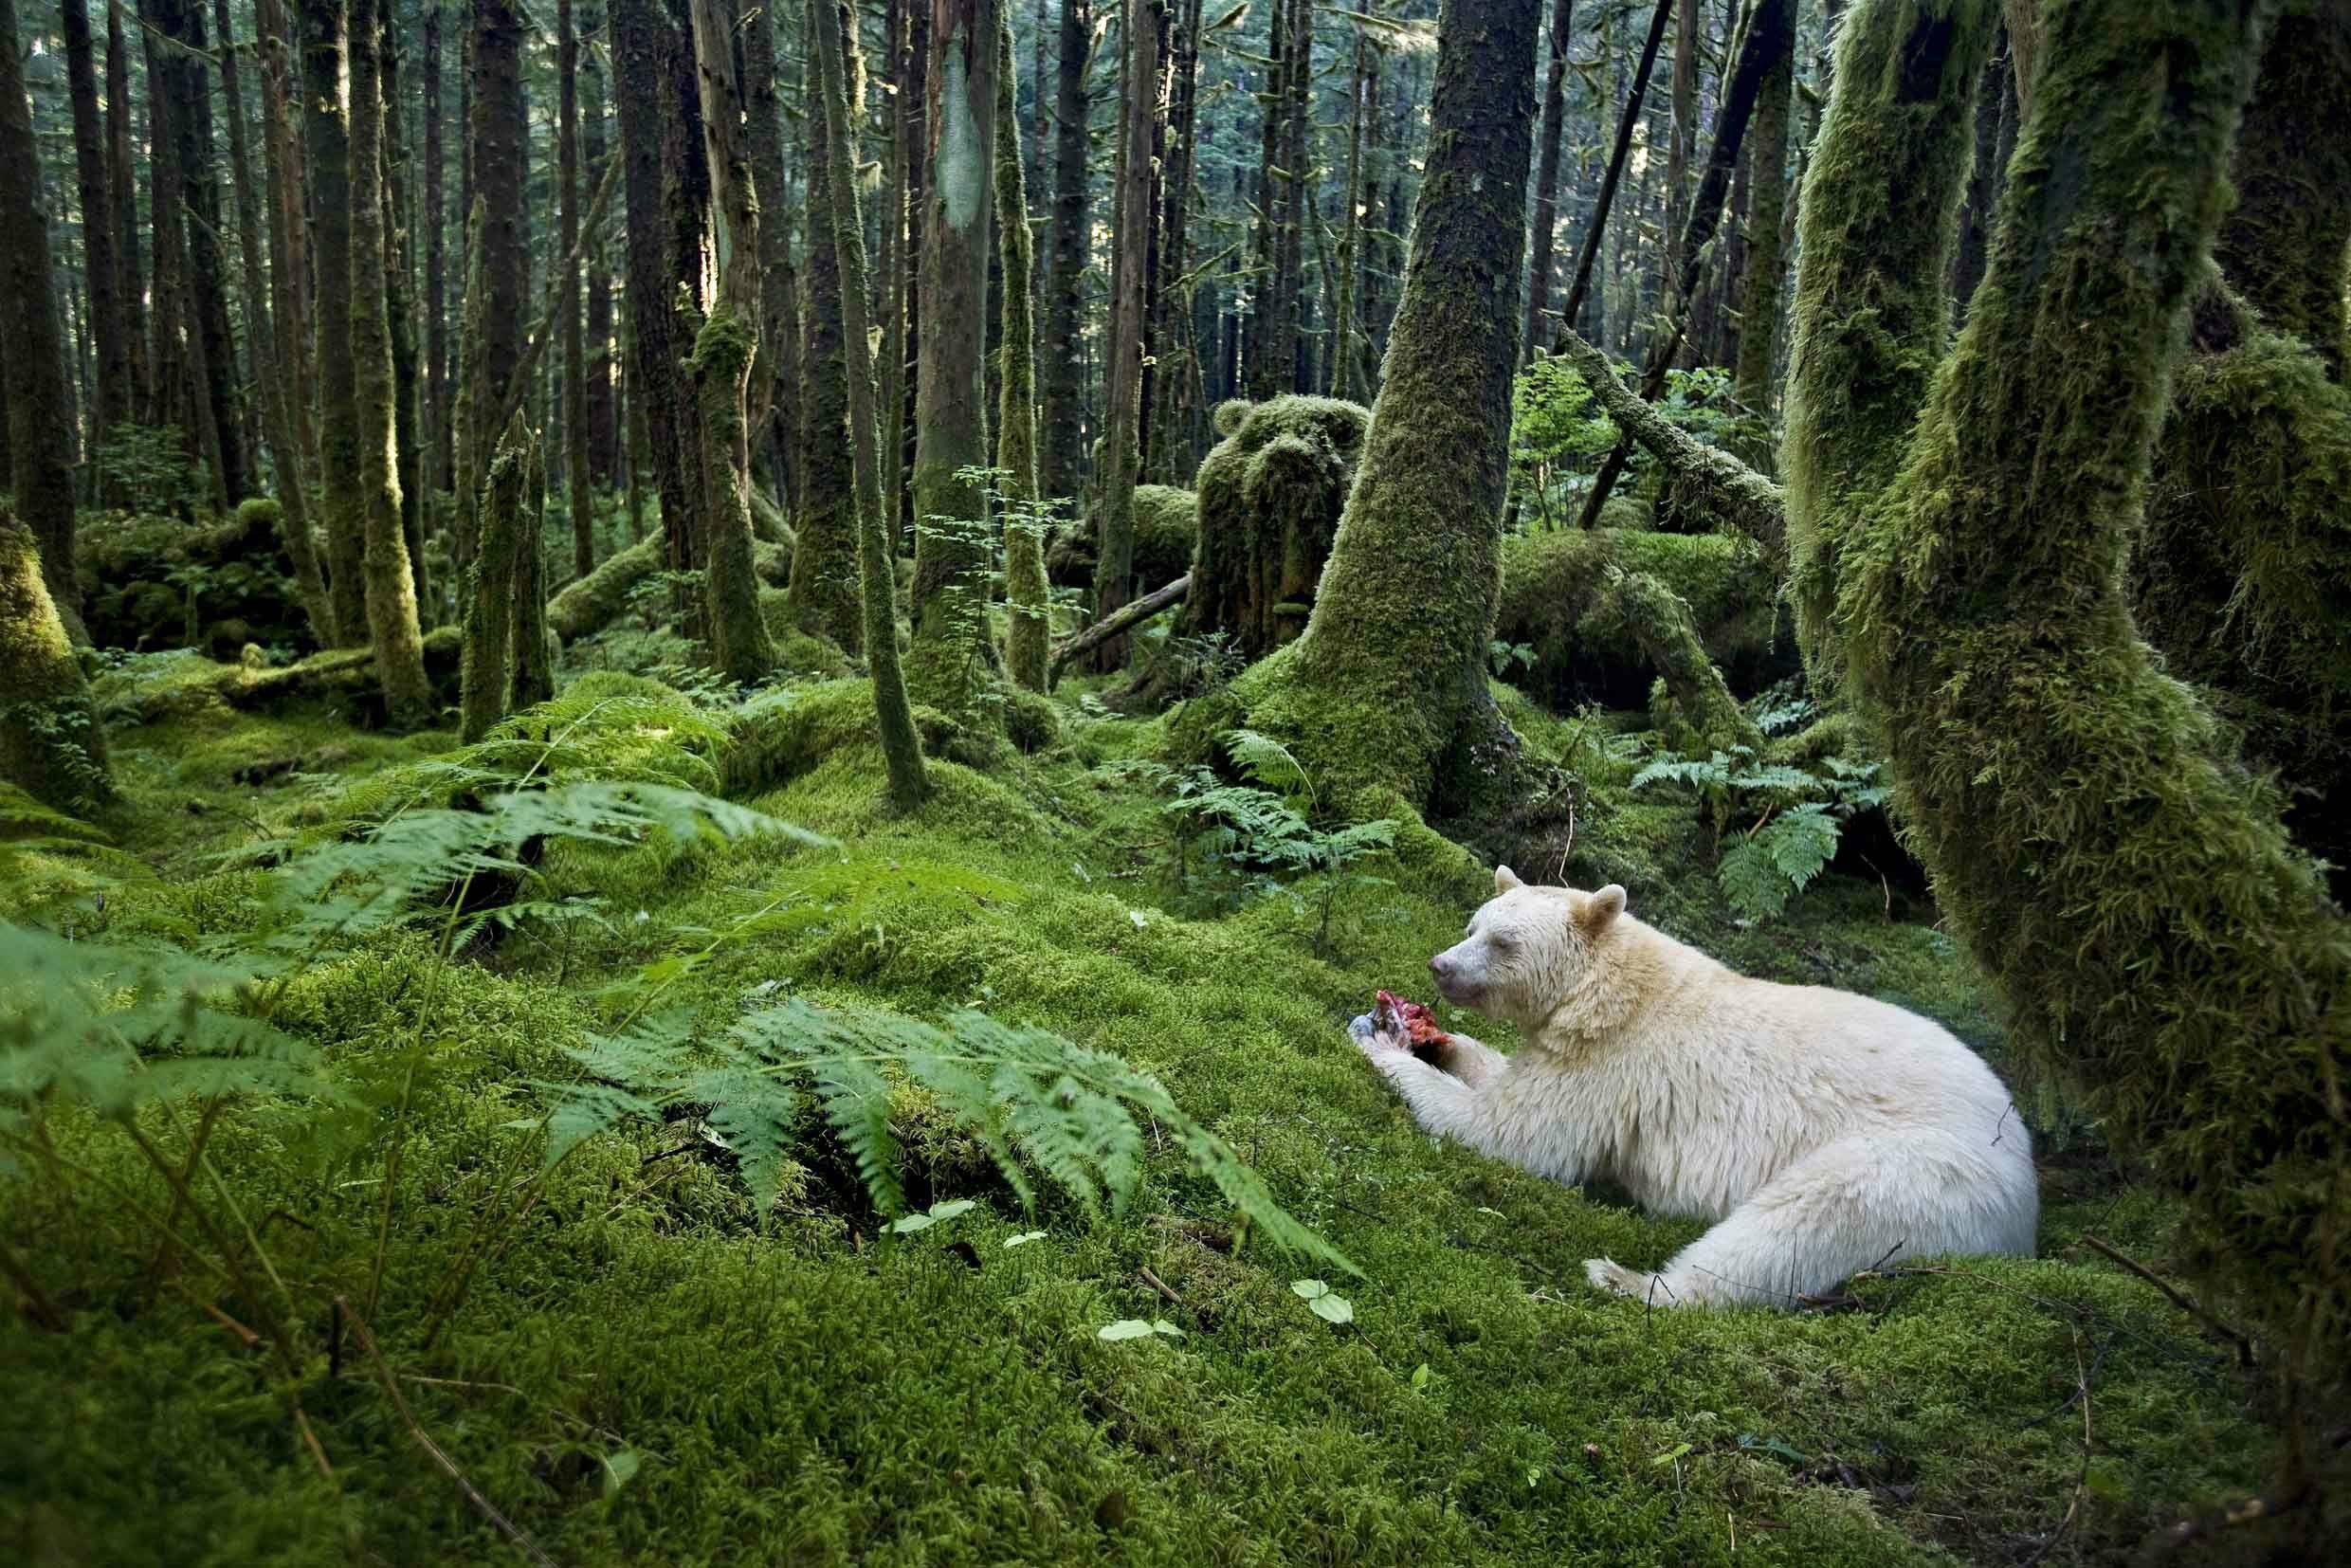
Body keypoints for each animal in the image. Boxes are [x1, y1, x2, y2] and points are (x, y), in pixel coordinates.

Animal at [1349, 866, 2038, 1307]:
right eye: (1473, 925)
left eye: (1503, 941)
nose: (1440, 965)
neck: (1608, 987)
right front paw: (1434, 1038)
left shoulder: (1614, 1063)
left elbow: (1517, 1135)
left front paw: (1382, 1042)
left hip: (1923, 1171)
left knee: (1805, 1221)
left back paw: (1629, 1280)